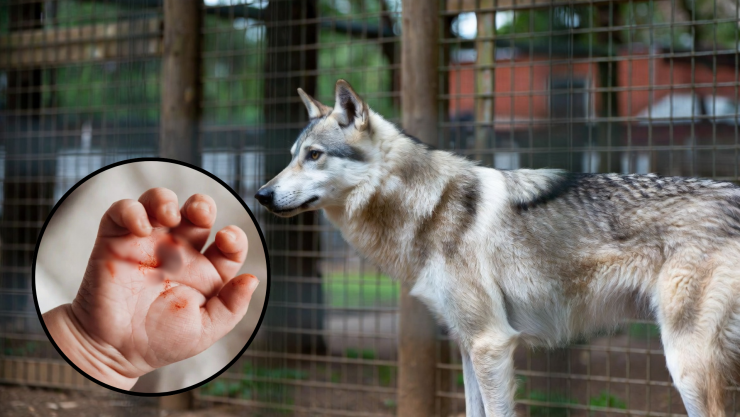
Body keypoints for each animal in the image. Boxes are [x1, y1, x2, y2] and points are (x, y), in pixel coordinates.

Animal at [255, 79, 740, 416]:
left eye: (314, 155)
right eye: (293, 154)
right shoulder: (469, 345)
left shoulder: (491, 344)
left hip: (686, 366)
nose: (261, 195)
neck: (428, 208)